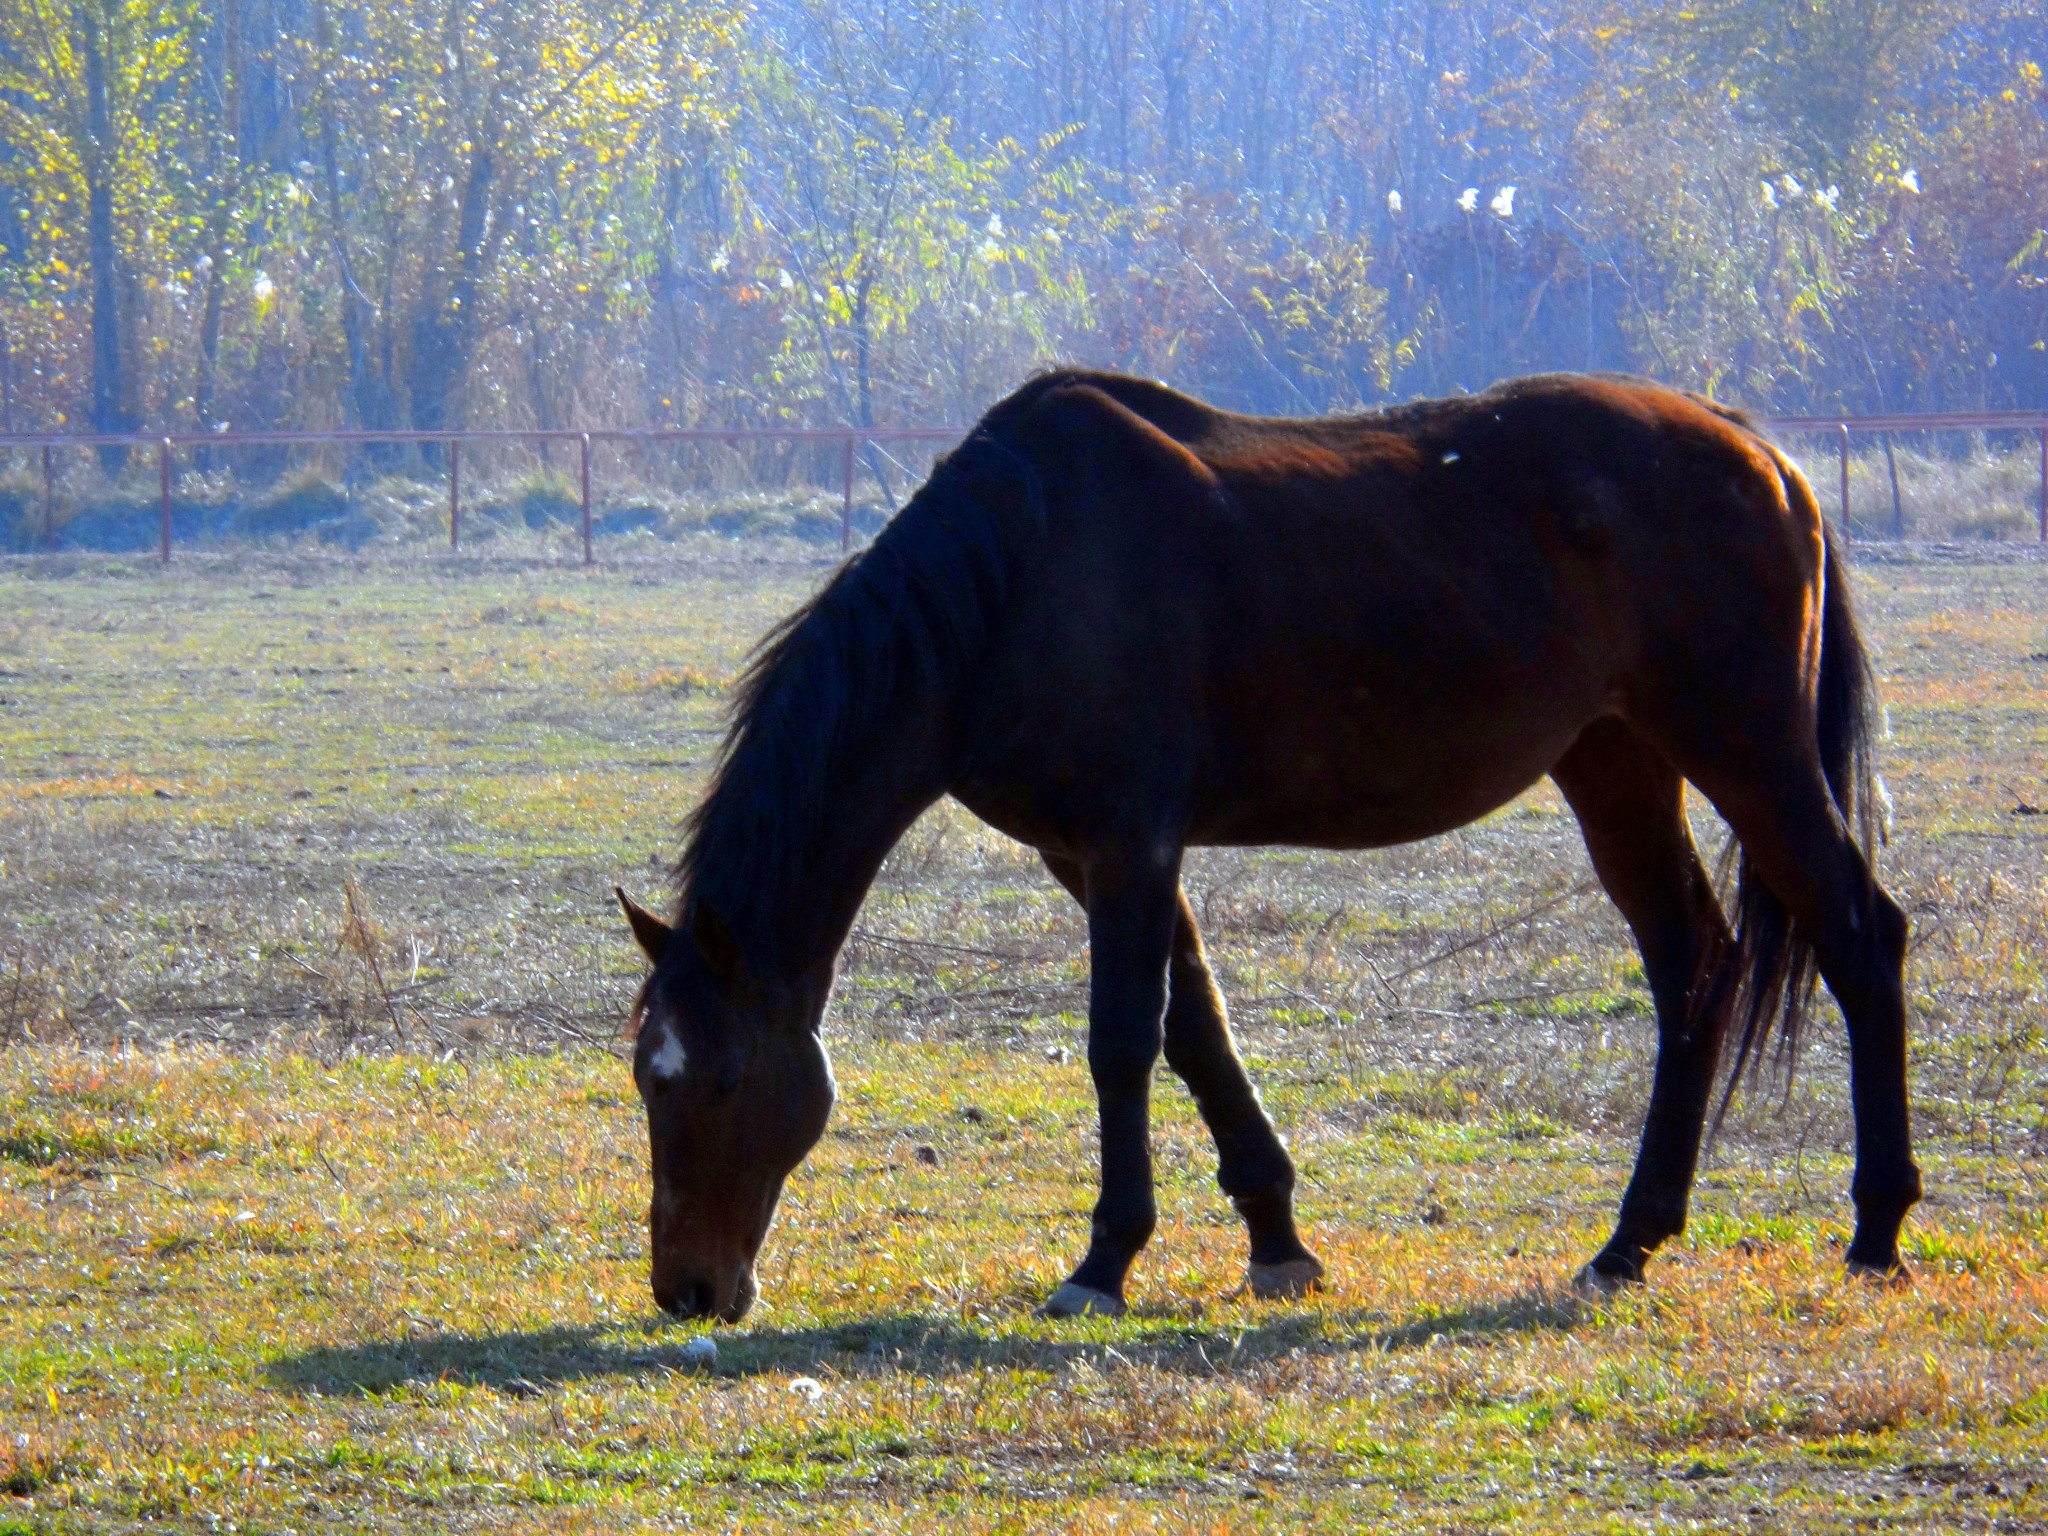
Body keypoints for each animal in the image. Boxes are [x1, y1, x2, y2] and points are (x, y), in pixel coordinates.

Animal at [610, 370, 1916, 1327]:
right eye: (644, 1076)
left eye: (715, 1080)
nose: (688, 1290)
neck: (1017, 573)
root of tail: (1762, 456)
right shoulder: (1094, 857)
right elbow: (1196, 1033)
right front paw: (1277, 1241)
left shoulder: (1129, 845)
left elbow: (1122, 1046)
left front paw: (1103, 1262)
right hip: (1615, 762)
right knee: (1692, 963)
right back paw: (1629, 1242)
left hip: (1744, 750)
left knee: (1860, 936)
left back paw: (1875, 1230)